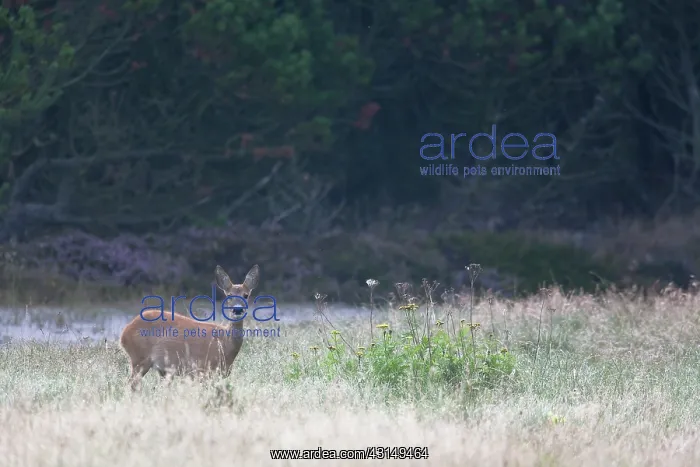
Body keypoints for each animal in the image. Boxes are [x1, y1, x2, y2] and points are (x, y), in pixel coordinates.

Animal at [119, 264, 260, 391]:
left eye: (246, 295)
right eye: (229, 295)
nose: (238, 309)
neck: (224, 344)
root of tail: (124, 333)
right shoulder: (201, 369)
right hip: (139, 358)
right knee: (131, 385)